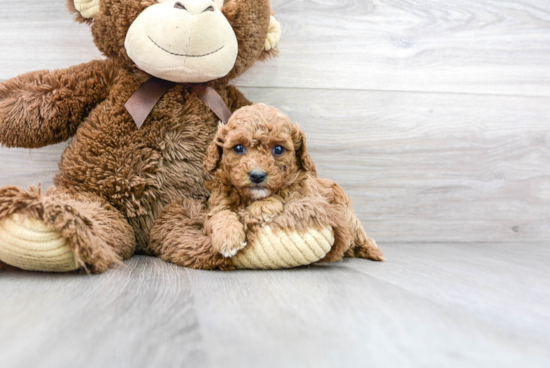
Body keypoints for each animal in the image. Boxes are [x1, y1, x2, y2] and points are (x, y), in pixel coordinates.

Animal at [149, 103, 386, 270]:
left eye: (278, 149)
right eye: (238, 148)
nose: (257, 175)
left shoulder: (304, 192)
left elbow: (284, 192)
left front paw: (262, 208)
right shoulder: (216, 205)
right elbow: (221, 216)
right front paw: (228, 238)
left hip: (346, 212)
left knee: (359, 234)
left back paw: (373, 251)